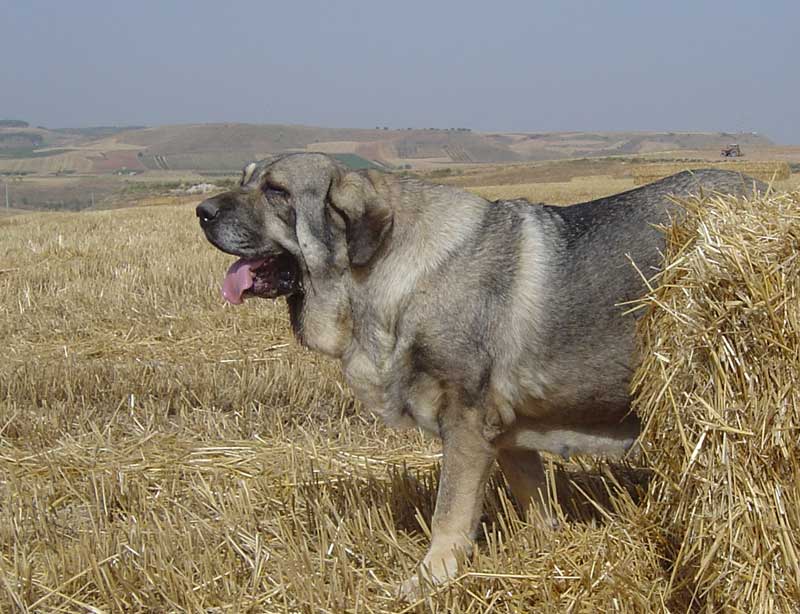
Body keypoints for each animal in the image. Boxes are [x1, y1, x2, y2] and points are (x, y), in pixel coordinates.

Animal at [196, 153, 760, 597]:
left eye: (276, 191)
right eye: (245, 178)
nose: (201, 212)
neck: (391, 271)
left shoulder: (465, 422)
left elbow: (449, 512)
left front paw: (430, 578)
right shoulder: (506, 432)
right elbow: (535, 498)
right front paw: (548, 549)